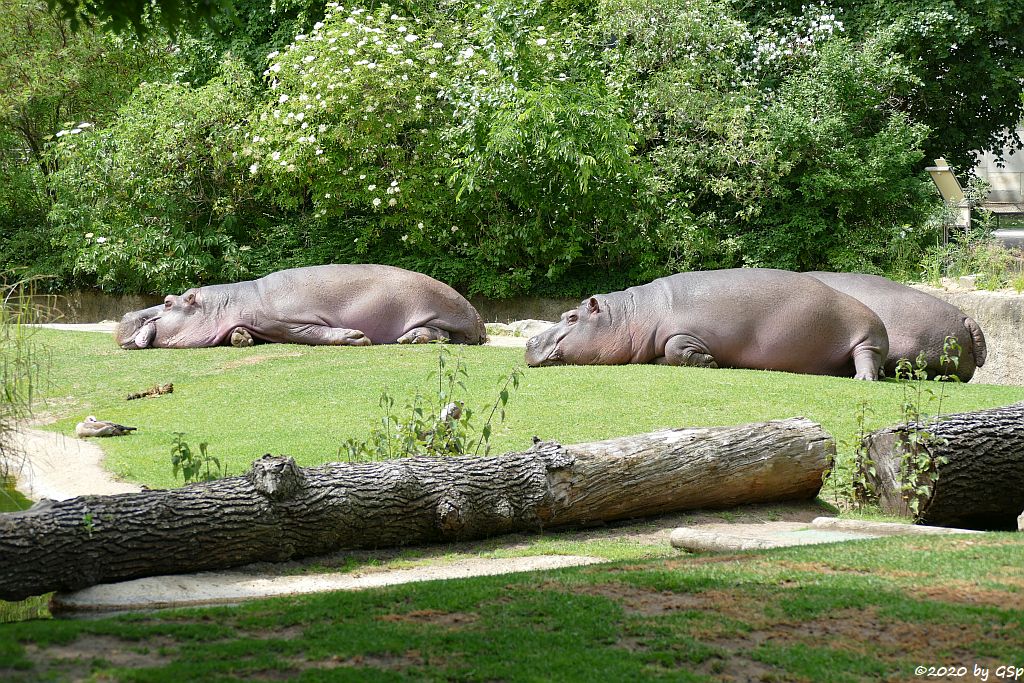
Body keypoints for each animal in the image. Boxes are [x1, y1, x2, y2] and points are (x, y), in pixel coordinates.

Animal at [528, 270, 888, 382]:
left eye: (571, 317)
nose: (529, 342)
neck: (633, 314)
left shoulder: (688, 333)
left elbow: (676, 347)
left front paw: (711, 362)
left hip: (866, 337)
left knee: (865, 357)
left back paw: (863, 379)